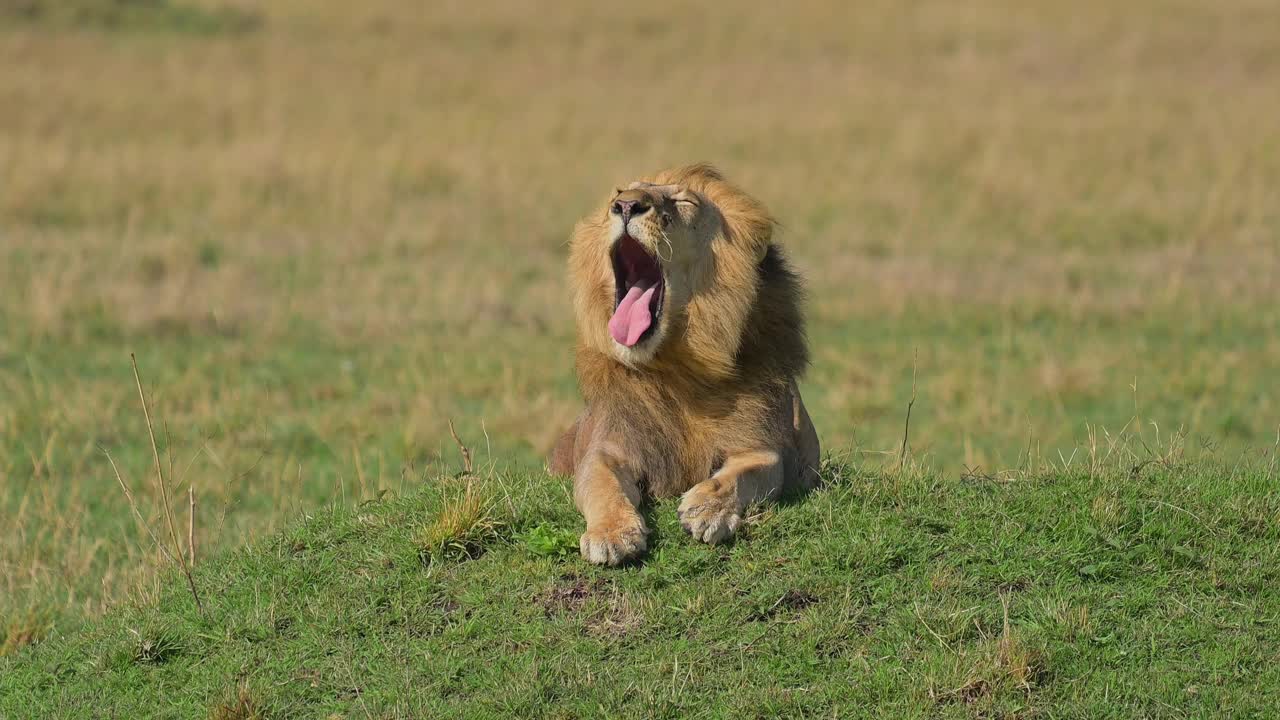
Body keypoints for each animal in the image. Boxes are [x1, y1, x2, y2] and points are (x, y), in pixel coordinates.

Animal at [550, 163, 819, 566]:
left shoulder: (763, 448)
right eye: (618, 193)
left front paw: (708, 510)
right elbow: (603, 485)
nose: (625, 206)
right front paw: (611, 535)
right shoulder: (606, 448)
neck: (675, 367)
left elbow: (744, 475)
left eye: (684, 202)